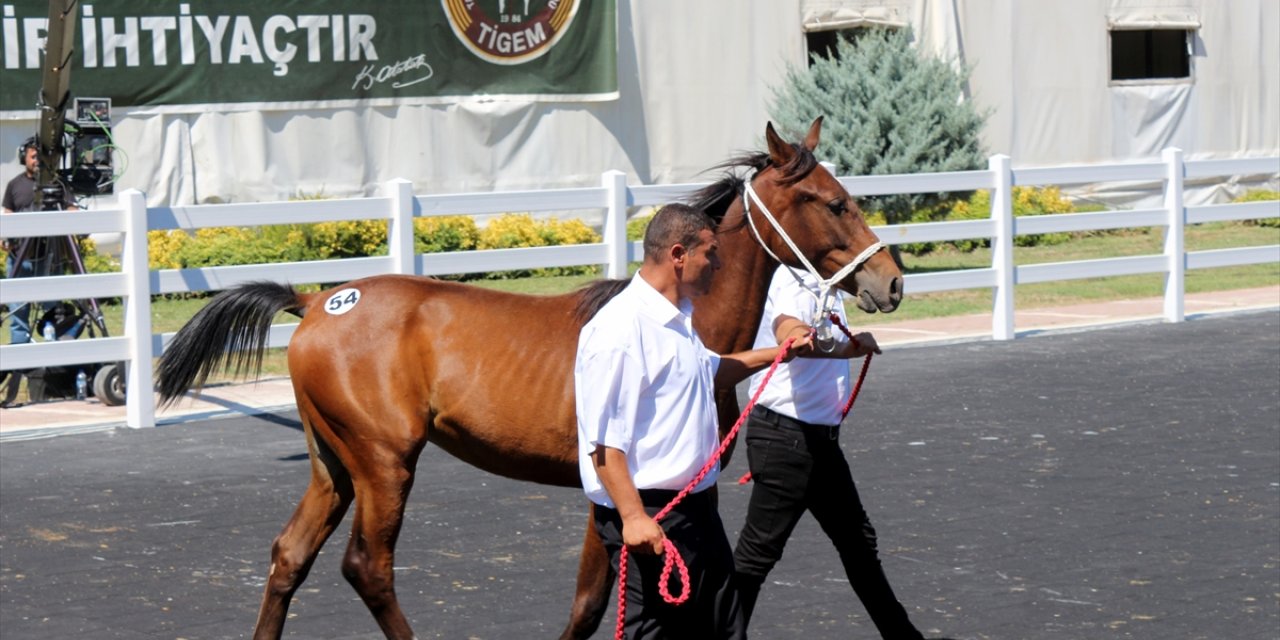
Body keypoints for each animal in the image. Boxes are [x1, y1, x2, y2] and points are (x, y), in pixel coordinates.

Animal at [157, 117, 901, 637]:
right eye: (832, 201)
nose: (890, 282)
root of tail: (317, 301)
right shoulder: (617, 491)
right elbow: (593, 604)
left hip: (332, 466)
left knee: (289, 557)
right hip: (383, 463)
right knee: (367, 567)